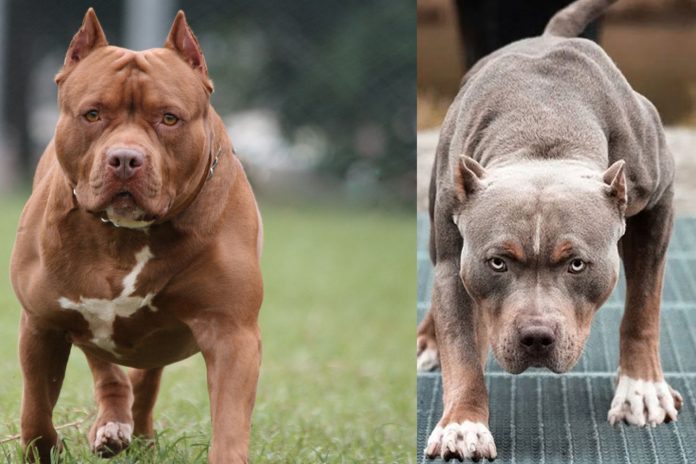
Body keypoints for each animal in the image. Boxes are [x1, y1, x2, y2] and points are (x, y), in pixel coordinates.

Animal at [12, 8, 262, 464]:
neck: (126, 236)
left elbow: (230, 420)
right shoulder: (41, 324)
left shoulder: (231, 332)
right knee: (109, 374)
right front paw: (46, 448)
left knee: (143, 381)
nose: (125, 159)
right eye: (93, 114)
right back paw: (112, 426)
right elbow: (35, 410)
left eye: (169, 118)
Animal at [416, 0, 684, 458]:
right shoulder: (456, 261)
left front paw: (642, 389)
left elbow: (643, 305)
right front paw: (463, 424)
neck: (543, 128)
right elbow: (461, 346)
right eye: (498, 263)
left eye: (576, 264)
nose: (536, 338)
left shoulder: (658, 203)